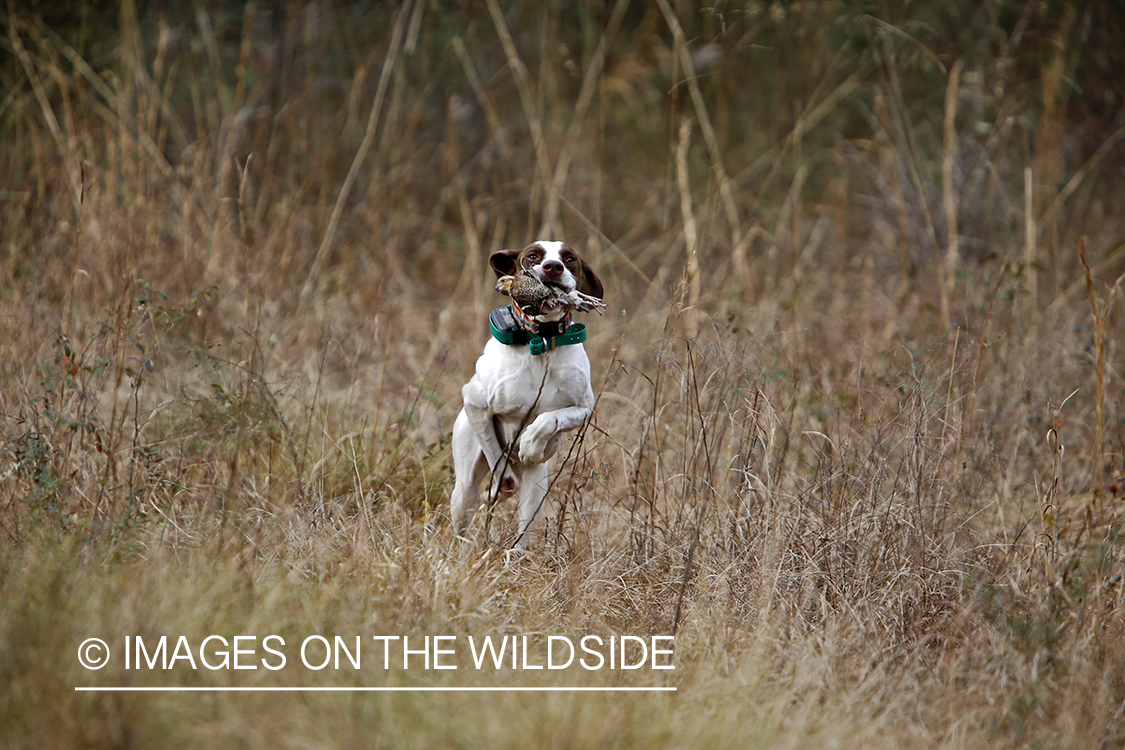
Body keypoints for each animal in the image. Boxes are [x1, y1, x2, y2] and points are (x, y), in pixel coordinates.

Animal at [450, 240, 607, 550]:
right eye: (533, 255)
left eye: (569, 258)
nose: (553, 267)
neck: (542, 342)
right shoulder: (474, 402)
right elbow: (494, 451)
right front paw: (504, 476)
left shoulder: (584, 408)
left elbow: (550, 418)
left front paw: (531, 443)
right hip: (464, 488)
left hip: (536, 492)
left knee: (522, 535)